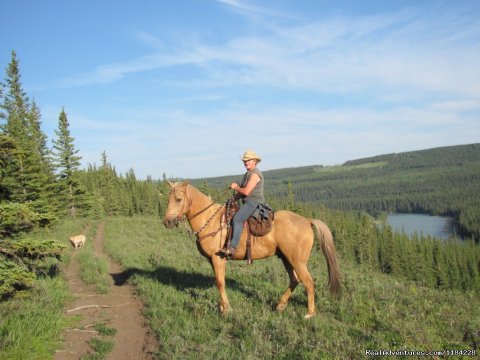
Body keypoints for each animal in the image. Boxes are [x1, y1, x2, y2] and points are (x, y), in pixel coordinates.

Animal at [163, 180, 340, 318]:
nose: (167, 222)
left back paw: (310, 313)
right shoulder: (213, 260)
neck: (210, 220)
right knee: (295, 280)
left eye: (178, 199)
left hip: (298, 261)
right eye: (168, 199)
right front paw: (222, 307)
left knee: (308, 282)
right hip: (286, 258)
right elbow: (218, 281)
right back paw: (280, 305)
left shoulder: (217, 258)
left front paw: (226, 309)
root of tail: (307, 221)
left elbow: (220, 283)